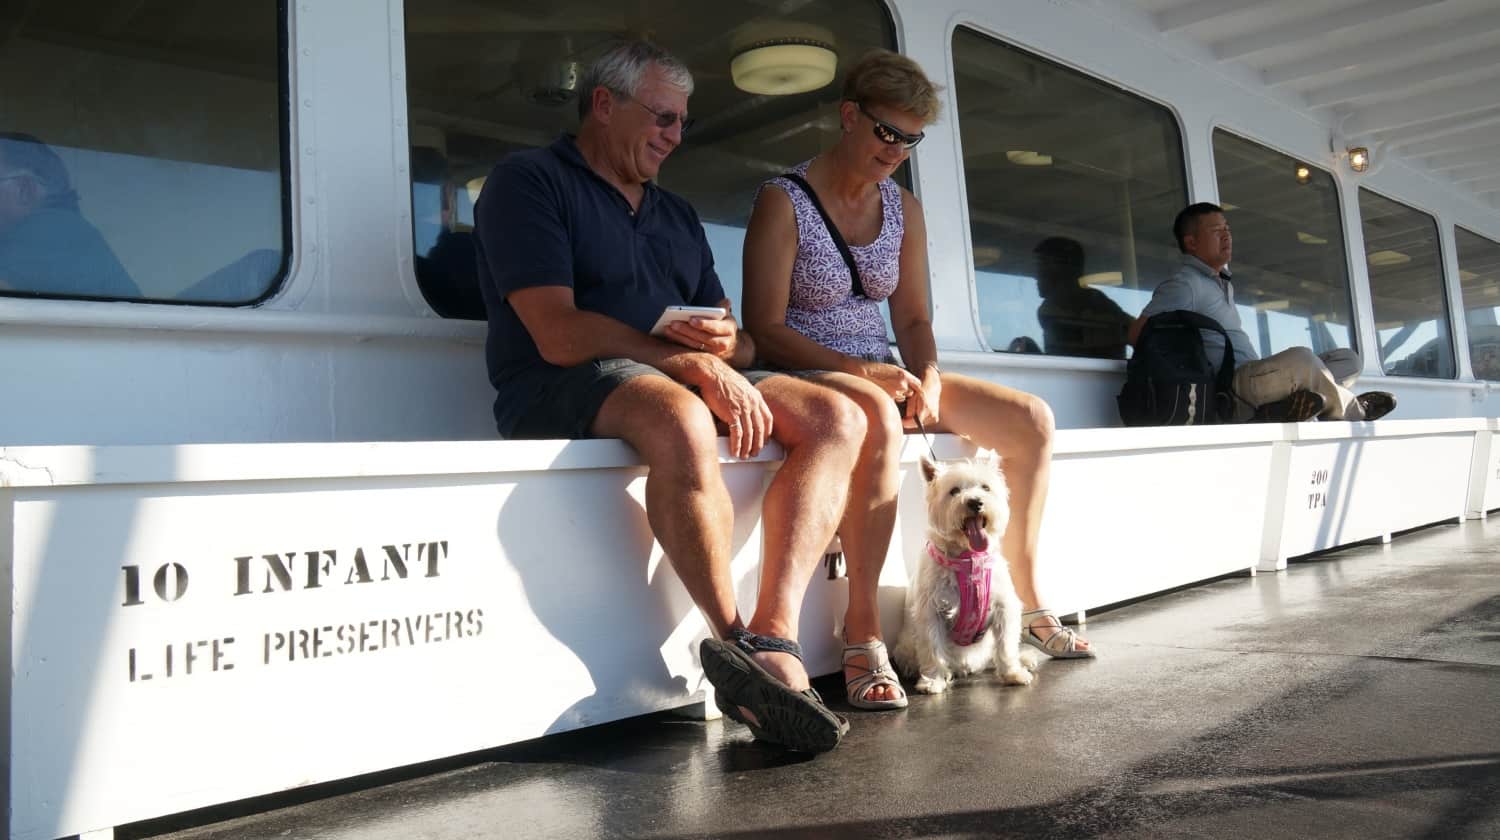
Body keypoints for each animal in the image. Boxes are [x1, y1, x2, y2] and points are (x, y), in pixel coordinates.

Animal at [894, 456, 1038, 693]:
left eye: (986, 487)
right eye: (953, 491)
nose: (975, 502)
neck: (970, 560)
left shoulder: (1004, 606)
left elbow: (1006, 644)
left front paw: (1013, 673)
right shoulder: (930, 611)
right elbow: (932, 647)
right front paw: (933, 681)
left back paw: (1024, 659)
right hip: (905, 647)